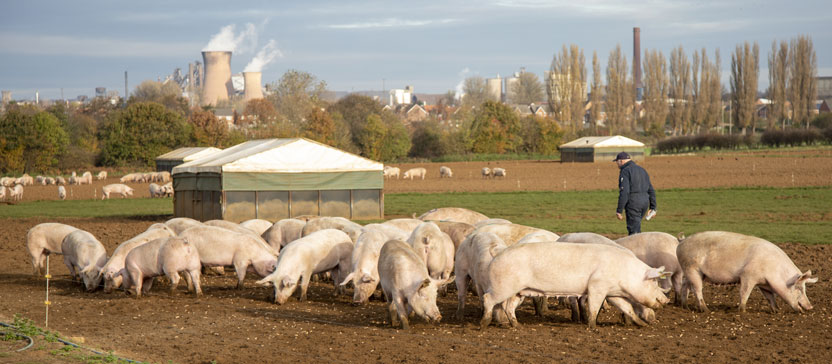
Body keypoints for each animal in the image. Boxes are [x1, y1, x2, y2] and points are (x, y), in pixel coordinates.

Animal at [480, 242, 668, 330]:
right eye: (654, 282)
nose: (666, 300)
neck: (625, 273)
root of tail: (497, 253)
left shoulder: (613, 292)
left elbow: (627, 307)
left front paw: (643, 325)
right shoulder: (597, 286)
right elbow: (593, 307)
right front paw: (592, 327)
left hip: (518, 291)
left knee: (508, 306)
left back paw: (517, 326)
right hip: (502, 287)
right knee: (487, 299)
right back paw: (484, 324)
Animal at [676, 233, 820, 312]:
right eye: (798, 288)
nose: (811, 307)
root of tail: (682, 242)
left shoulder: (764, 283)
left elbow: (770, 296)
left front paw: (776, 310)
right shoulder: (748, 276)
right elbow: (744, 293)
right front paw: (742, 311)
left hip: (689, 271)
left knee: (685, 286)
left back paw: (685, 306)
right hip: (692, 268)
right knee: (697, 289)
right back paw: (706, 310)